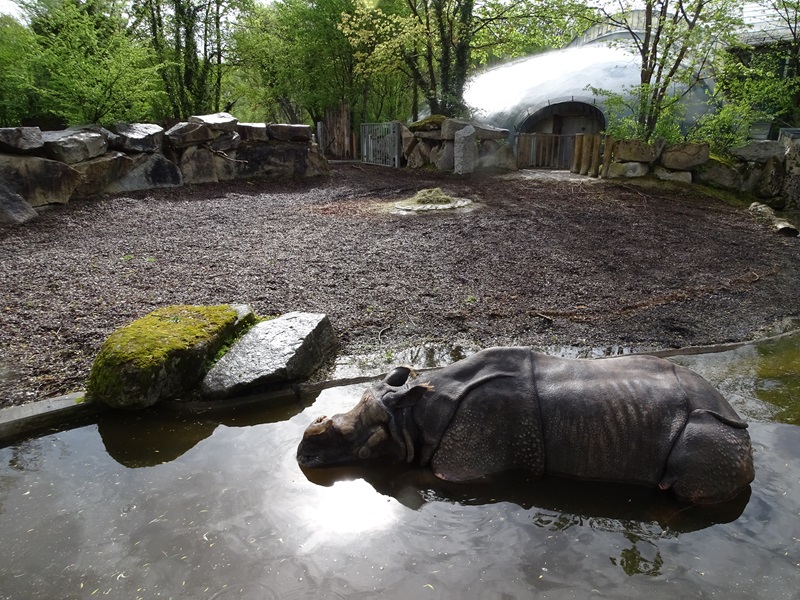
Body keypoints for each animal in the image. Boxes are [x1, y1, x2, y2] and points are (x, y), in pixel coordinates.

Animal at [297, 347, 755, 504]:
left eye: (366, 441)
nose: (302, 455)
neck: (415, 415)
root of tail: (738, 417)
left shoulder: (468, 465)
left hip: (714, 432)